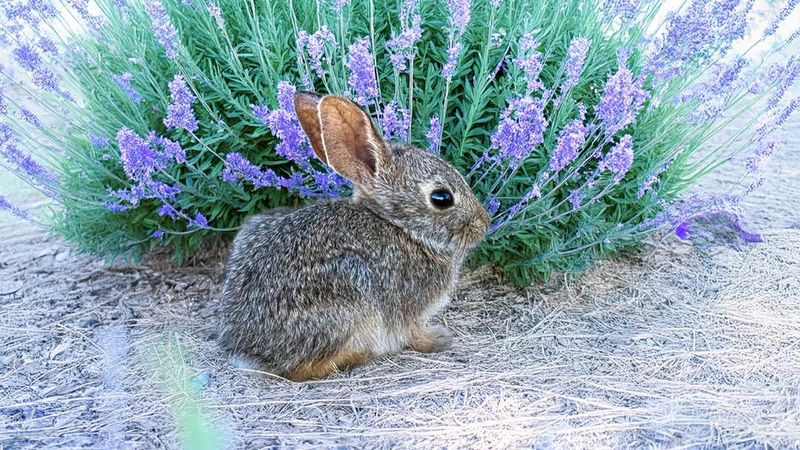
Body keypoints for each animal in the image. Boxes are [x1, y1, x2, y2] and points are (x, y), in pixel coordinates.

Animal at [218, 92, 489, 381]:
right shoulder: (409, 309)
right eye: (441, 197)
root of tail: (246, 345)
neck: (401, 227)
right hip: (348, 297)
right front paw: (438, 339)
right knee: (299, 369)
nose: (484, 223)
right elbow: (413, 334)